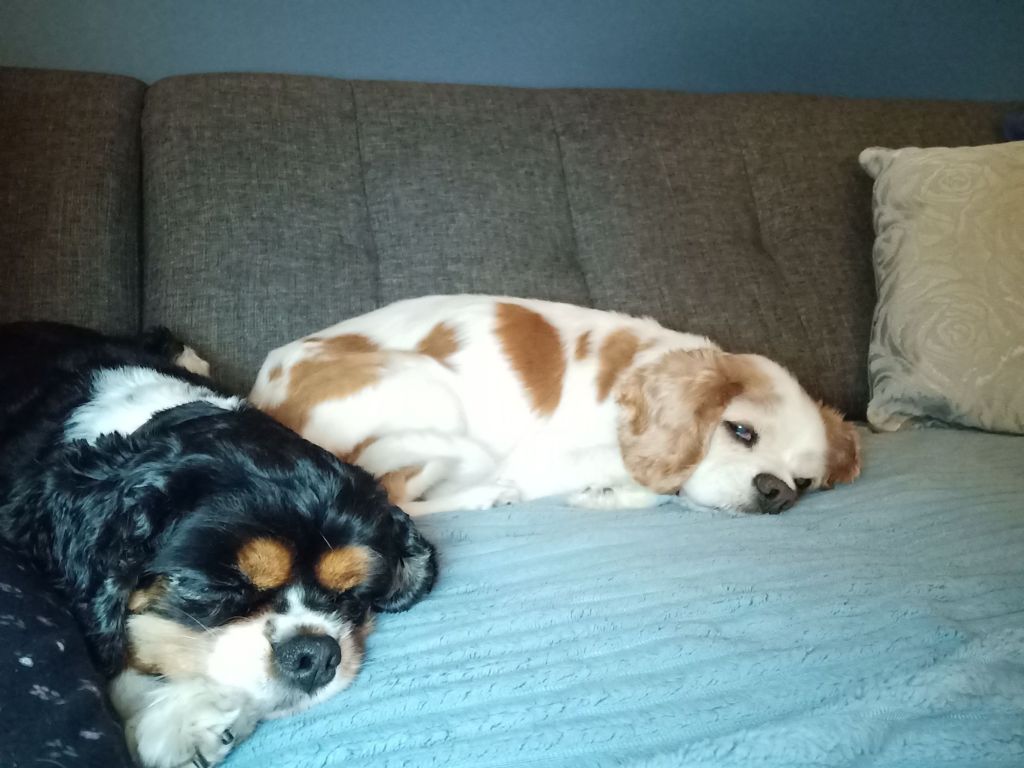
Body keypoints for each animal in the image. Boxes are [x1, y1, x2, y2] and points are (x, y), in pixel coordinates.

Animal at [249, 295, 861, 515]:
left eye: (804, 482)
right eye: (740, 431)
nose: (777, 492)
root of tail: (262, 394)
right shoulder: (545, 461)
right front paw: (607, 493)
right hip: (429, 387)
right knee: (393, 494)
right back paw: (485, 496)